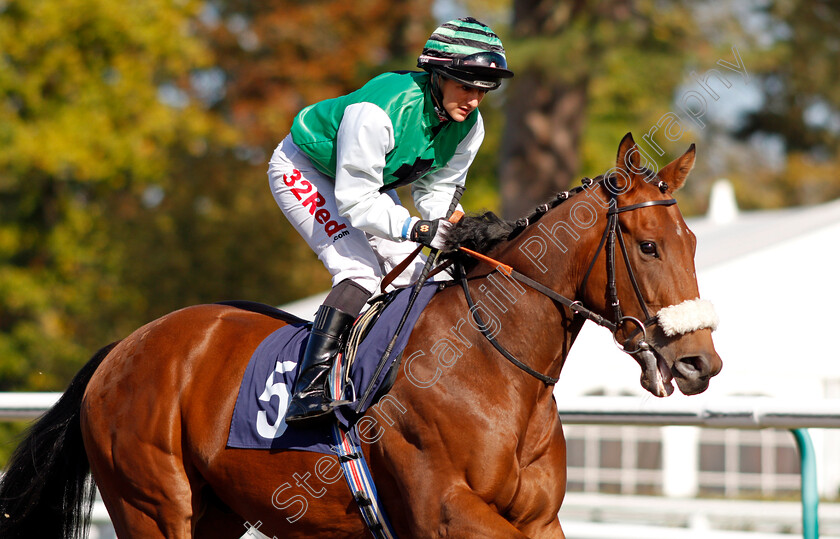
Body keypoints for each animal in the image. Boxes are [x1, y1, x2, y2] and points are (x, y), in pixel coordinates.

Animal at [0, 133, 720, 536]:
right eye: (649, 246)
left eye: (692, 242)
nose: (699, 362)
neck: (492, 369)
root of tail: (120, 350)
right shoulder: (444, 511)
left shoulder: (539, 518)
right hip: (152, 504)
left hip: (215, 514)